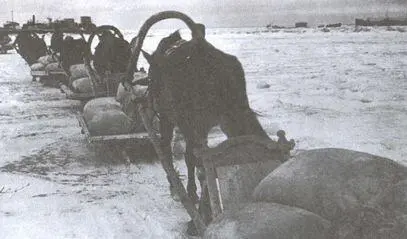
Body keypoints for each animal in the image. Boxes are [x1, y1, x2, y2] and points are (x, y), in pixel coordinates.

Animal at [124, 11, 270, 233]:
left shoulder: (173, 120)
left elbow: (179, 155)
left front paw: (183, 191)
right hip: (232, 116)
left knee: (194, 157)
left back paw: (199, 213)